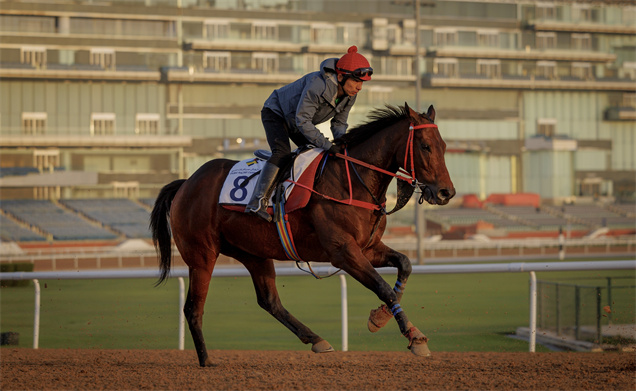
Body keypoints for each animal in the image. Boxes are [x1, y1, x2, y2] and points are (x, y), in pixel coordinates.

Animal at [152, 102, 454, 366]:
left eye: (444, 146)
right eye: (425, 146)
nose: (445, 192)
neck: (352, 181)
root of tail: (186, 183)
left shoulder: (367, 247)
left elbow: (404, 264)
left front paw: (380, 318)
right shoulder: (343, 252)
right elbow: (382, 286)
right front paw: (414, 337)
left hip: (253, 253)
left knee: (269, 301)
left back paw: (316, 339)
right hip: (202, 255)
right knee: (193, 308)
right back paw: (206, 360)